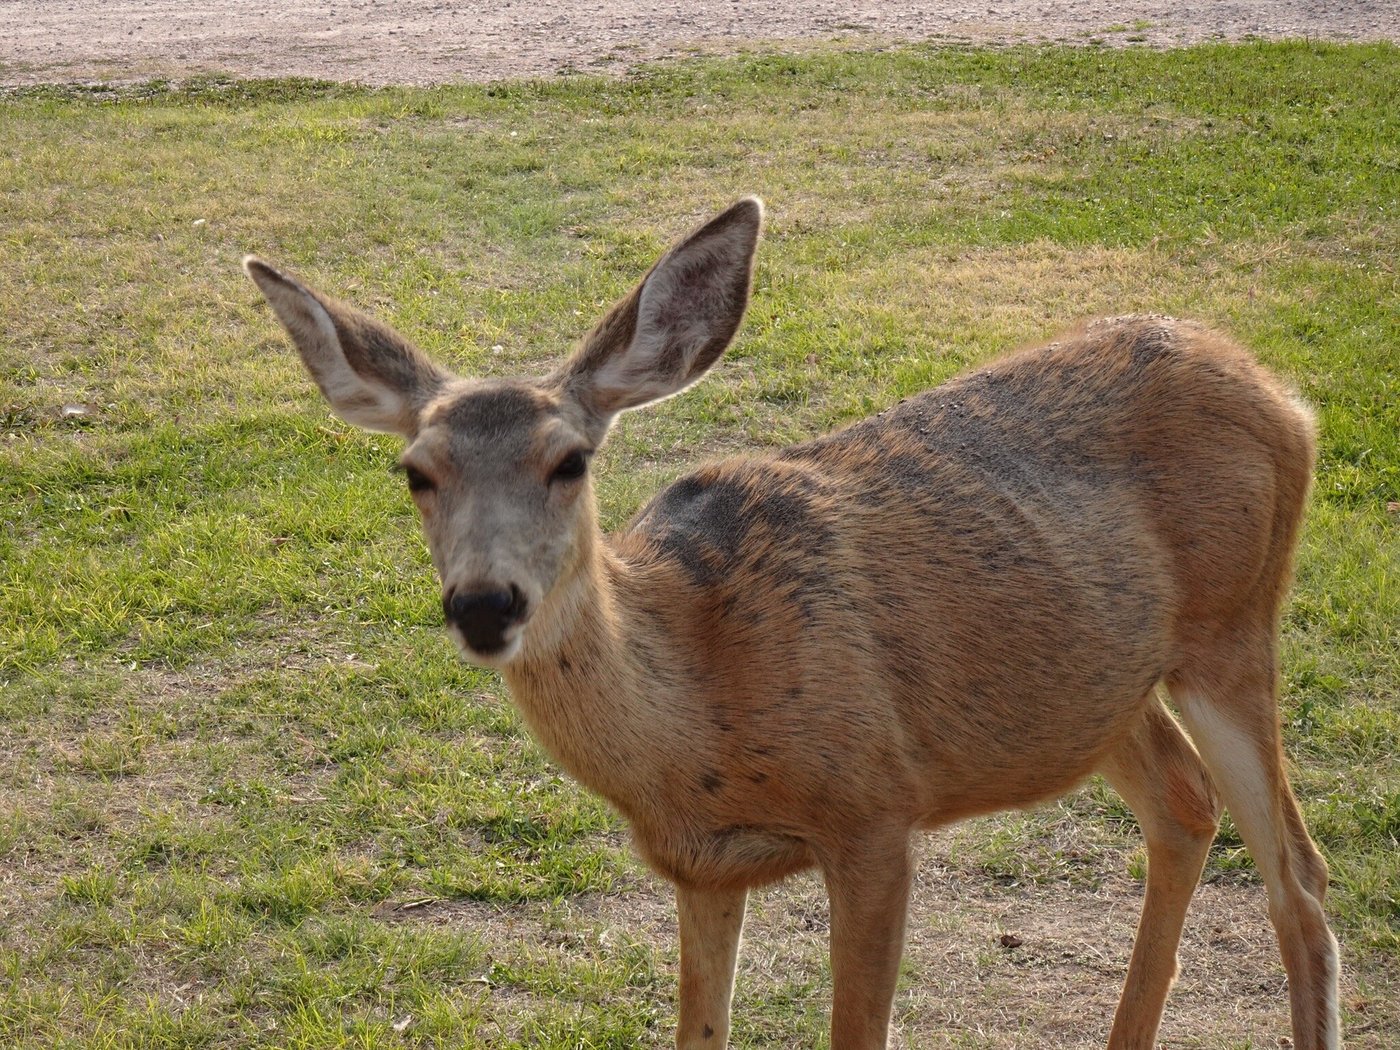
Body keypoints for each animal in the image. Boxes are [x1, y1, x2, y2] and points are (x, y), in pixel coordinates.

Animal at [243, 198, 1344, 1050]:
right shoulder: (697, 867)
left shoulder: (874, 809)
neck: (702, 704)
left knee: (1300, 878)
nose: (484, 602)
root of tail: (1287, 395)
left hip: (1231, 627)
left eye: (569, 461)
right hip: (1098, 686)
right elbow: (699, 1032)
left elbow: (855, 1030)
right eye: (415, 472)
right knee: (1184, 805)